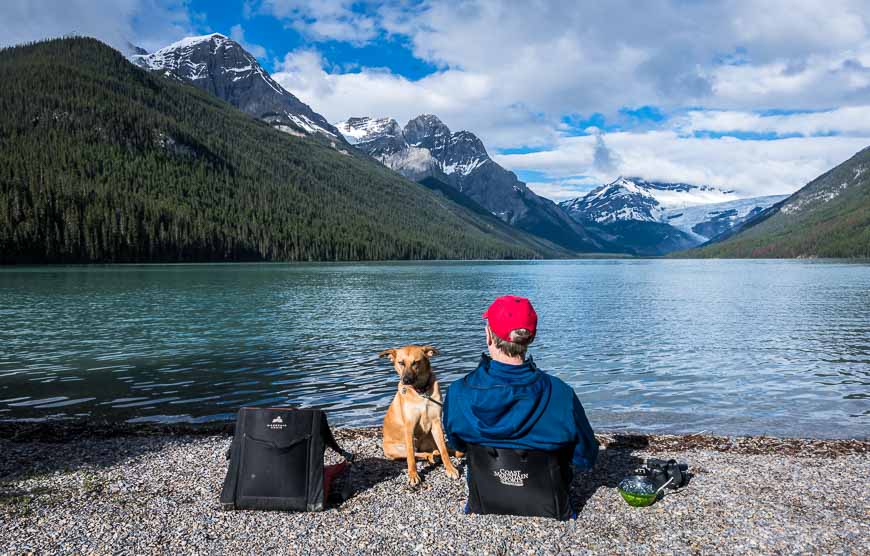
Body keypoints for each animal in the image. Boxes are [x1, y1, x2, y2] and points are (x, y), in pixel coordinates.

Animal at [382, 346, 464, 484]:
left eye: (416, 362)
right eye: (401, 362)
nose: (406, 380)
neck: (421, 392)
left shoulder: (436, 423)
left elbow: (444, 450)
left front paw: (450, 469)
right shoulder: (409, 426)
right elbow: (410, 456)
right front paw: (413, 475)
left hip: (429, 439)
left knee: (435, 449)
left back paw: (436, 455)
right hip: (396, 451)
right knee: (415, 454)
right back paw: (430, 456)